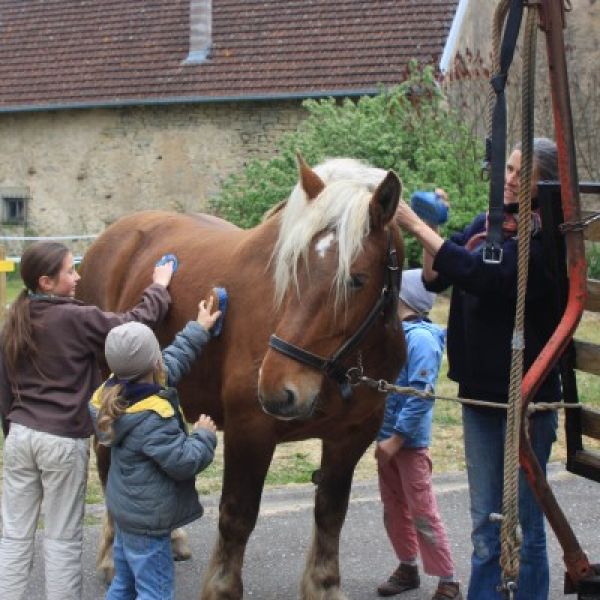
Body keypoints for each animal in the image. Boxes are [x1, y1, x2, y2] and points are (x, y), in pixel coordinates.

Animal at [77, 157, 408, 596]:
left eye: (356, 280)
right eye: (290, 267)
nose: (278, 390)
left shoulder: (351, 437)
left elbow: (330, 513)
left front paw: (323, 585)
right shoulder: (250, 430)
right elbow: (237, 515)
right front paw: (222, 588)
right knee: (108, 466)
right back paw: (112, 557)